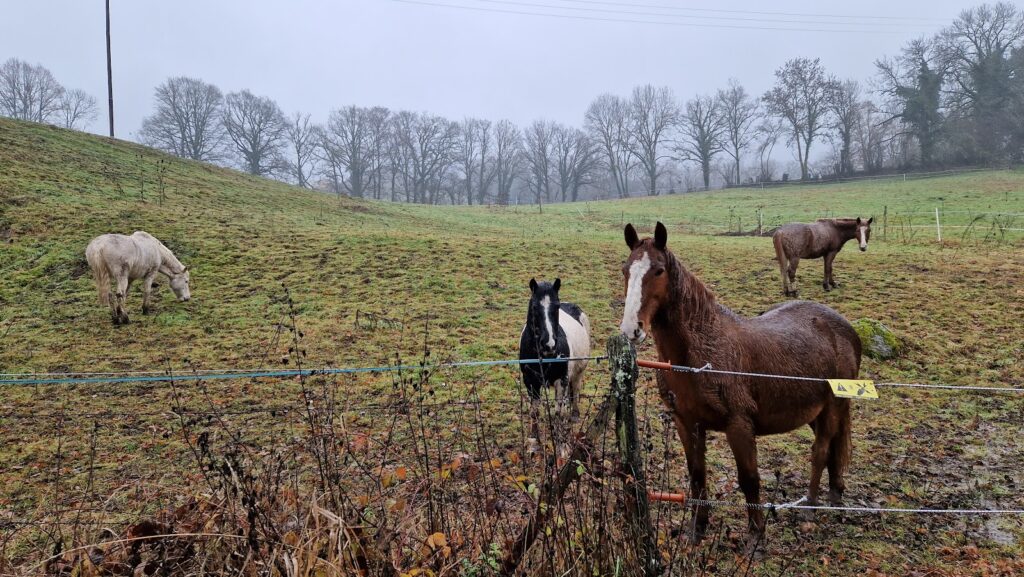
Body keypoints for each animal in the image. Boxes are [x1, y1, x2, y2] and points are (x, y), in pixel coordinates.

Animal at [519, 278, 591, 456]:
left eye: (556, 306)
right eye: (534, 306)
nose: (549, 344)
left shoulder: (561, 381)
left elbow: (559, 413)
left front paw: (561, 447)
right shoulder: (530, 382)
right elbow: (534, 411)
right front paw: (533, 442)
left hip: (578, 372)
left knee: (575, 391)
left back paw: (574, 414)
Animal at [620, 222, 860, 547]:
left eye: (658, 270)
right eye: (626, 270)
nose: (631, 329)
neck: (701, 354)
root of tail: (845, 328)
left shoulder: (739, 426)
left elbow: (749, 481)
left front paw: (756, 539)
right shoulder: (687, 423)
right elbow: (697, 476)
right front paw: (697, 529)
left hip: (834, 405)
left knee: (820, 451)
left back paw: (811, 507)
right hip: (816, 411)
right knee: (833, 449)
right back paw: (835, 495)